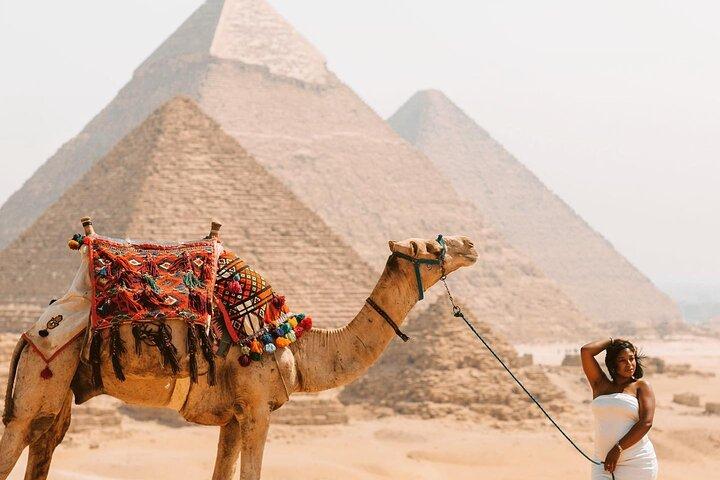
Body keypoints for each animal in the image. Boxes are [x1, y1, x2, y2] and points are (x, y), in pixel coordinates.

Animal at [0, 225, 477, 480]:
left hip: (60, 396)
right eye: (430, 247)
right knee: (16, 441)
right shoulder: (257, 409)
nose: (470, 244)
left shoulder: (231, 415)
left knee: (44, 445)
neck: (290, 344)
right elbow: (252, 472)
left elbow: (222, 471)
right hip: (43, 373)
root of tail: (32, 329)